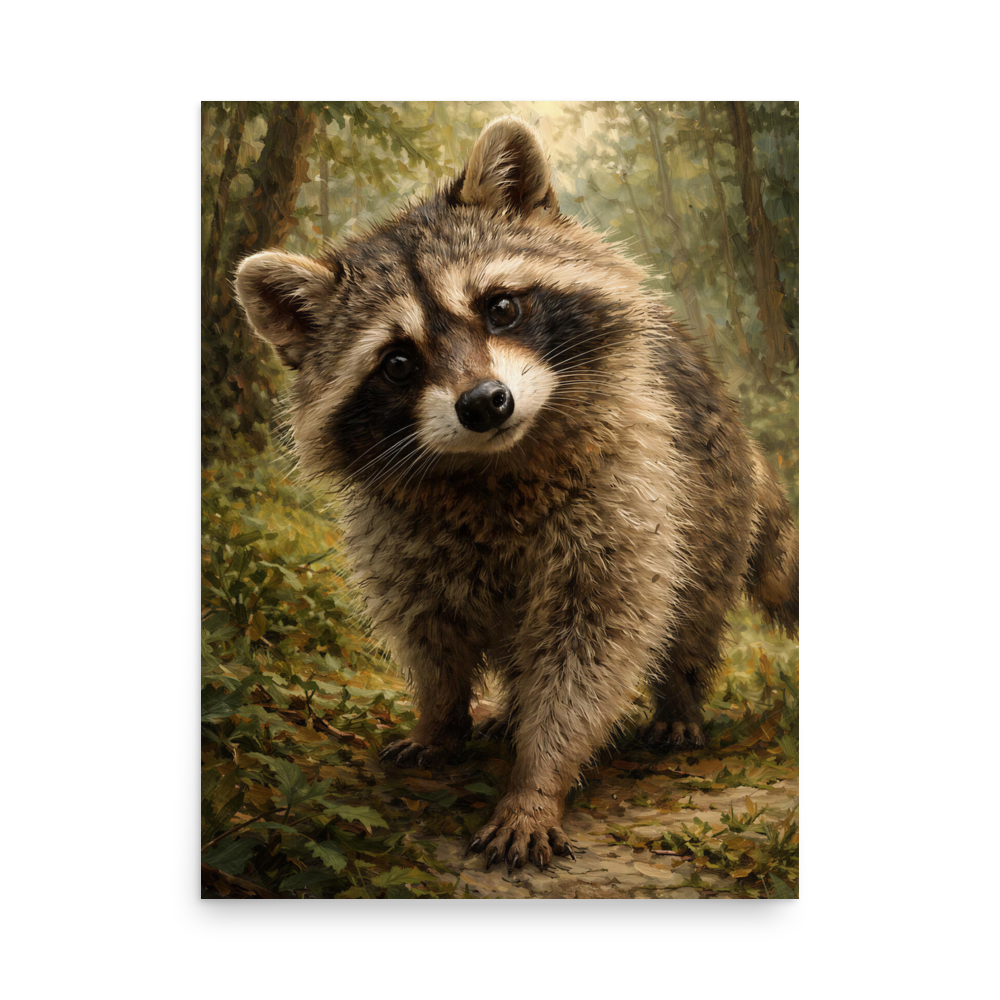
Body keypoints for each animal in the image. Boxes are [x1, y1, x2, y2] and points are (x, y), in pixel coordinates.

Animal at [234, 115, 799, 872]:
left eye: (500, 307)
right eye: (398, 362)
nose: (484, 403)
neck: (492, 467)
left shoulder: (626, 497)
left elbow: (592, 648)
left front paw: (538, 780)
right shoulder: (398, 536)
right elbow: (429, 634)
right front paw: (440, 718)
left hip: (710, 500)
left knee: (692, 611)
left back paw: (678, 699)